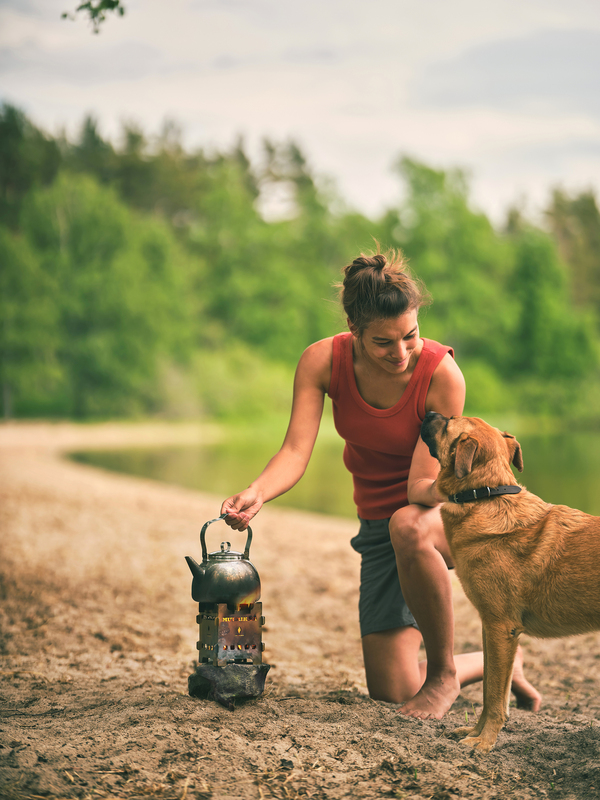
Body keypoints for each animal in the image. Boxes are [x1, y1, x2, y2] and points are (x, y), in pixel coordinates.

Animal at [420, 412, 600, 752]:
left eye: (449, 421)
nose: (429, 413)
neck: (486, 494)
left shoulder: (501, 628)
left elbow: (493, 696)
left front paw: (484, 742)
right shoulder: (491, 628)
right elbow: (491, 689)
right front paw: (475, 733)